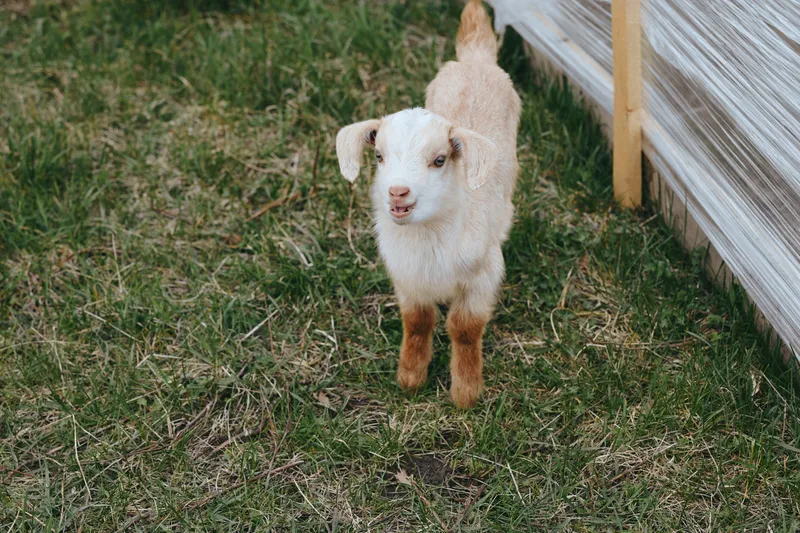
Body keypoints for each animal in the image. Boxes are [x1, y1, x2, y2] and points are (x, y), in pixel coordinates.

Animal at [335, 0, 521, 407]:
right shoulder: (408, 279)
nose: (398, 192)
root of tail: (474, 59)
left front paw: (465, 392)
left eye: (439, 160)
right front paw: (410, 377)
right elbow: (418, 322)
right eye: (379, 157)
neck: (429, 237)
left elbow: (464, 328)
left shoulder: (482, 278)